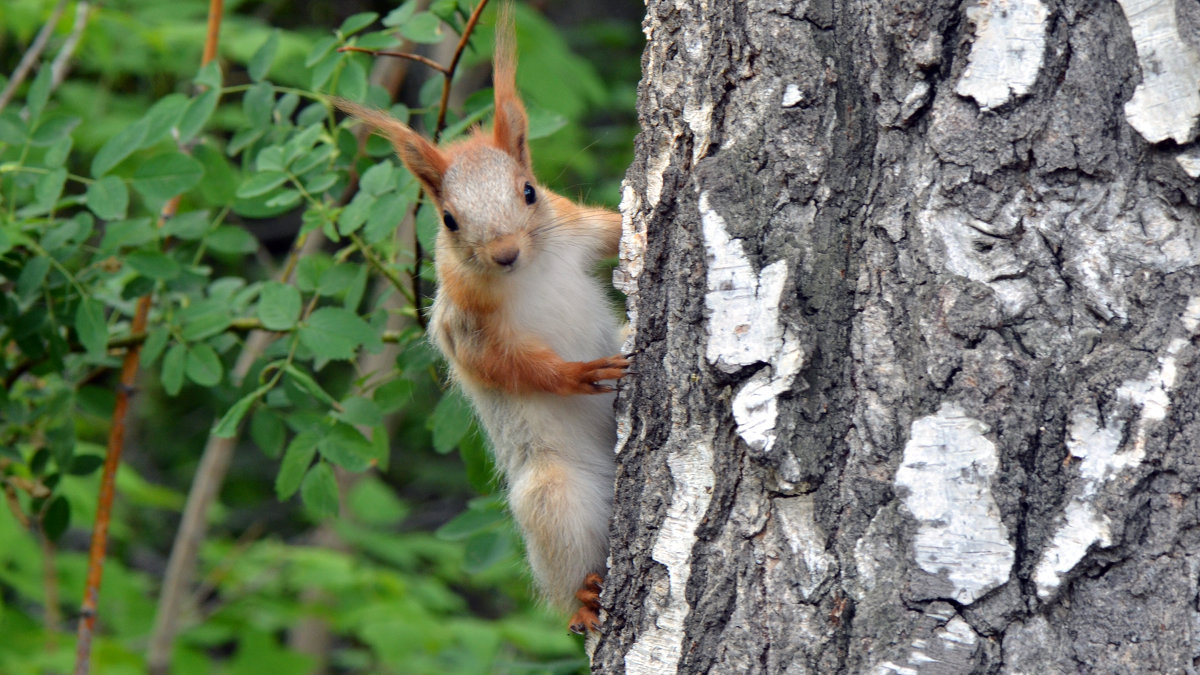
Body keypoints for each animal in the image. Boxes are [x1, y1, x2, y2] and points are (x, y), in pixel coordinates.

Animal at [333, 6, 624, 634]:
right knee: (564, 564)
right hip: (552, 493)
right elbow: (502, 364)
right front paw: (580, 374)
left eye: (530, 191)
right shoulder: (463, 325)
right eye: (448, 219)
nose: (506, 253)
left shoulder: (577, 230)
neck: (530, 272)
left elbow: (615, 230)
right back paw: (583, 600)